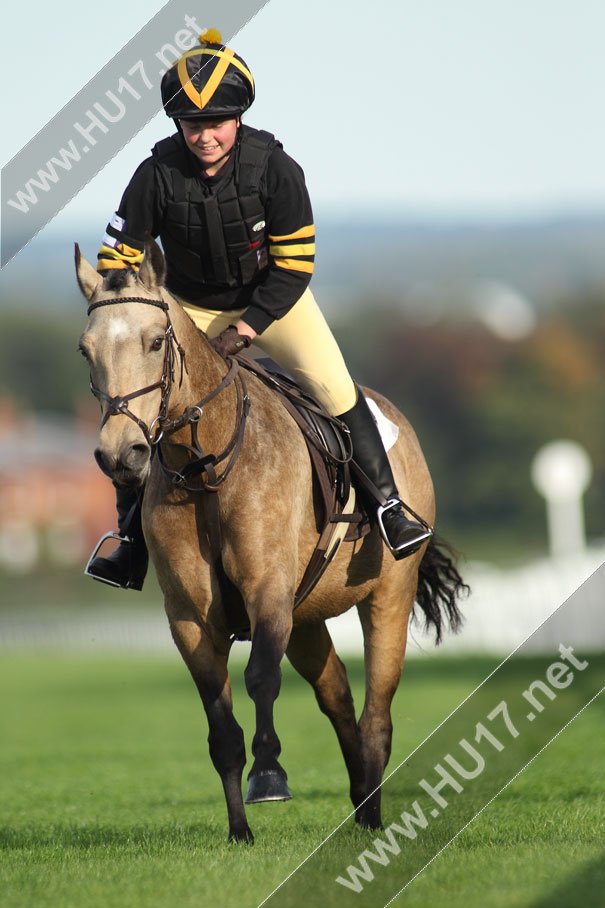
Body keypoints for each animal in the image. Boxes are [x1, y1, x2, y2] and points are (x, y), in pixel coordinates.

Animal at [73, 238, 464, 840]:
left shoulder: (268, 593)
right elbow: (219, 717)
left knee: (376, 713)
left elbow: (259, 678)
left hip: (387, 596)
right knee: (338, 698)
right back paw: (359, 803)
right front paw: (239, 830)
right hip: (306, 620)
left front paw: (270, 778)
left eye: (156, 340)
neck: (206, 463)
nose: (120, 455)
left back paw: (373, 818)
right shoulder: (190, 616)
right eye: (85, 350)